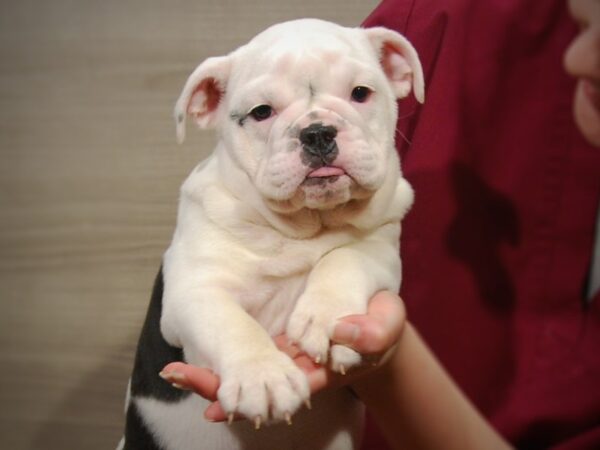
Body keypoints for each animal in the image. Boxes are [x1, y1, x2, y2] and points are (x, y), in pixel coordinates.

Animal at [120, 17, 422, 450]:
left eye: (361, 93)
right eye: (261, 112)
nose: (317, 132)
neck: (304, 225)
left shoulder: (381, 246)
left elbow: (346, 257)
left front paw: (326, 315)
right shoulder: (193, 289)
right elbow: (230, 322)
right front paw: (261, 375)